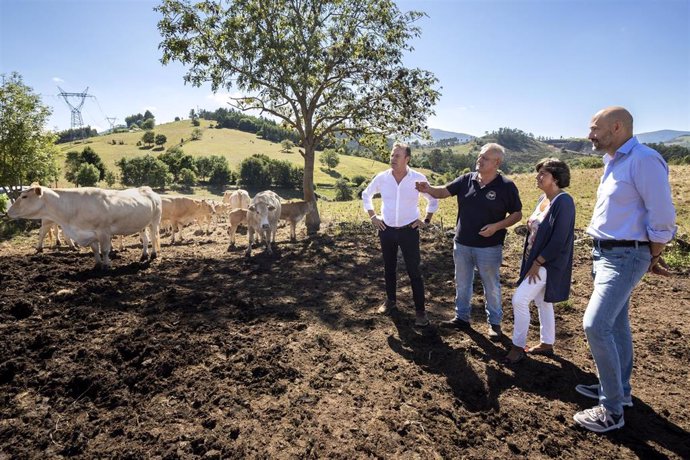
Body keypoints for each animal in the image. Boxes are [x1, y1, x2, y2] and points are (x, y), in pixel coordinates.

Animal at [9, 184, 161, 268]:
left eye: (24, 196)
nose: (8, 211)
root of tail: (147, 189)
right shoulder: (90, 234)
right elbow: (95, 251)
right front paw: (98, 265)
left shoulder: (103, 232)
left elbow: (104, 250)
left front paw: (107, 265)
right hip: (142, 224)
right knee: (145, 239)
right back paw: (143, 255)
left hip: (154, 221)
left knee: (153, 238)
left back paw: (153, 254)